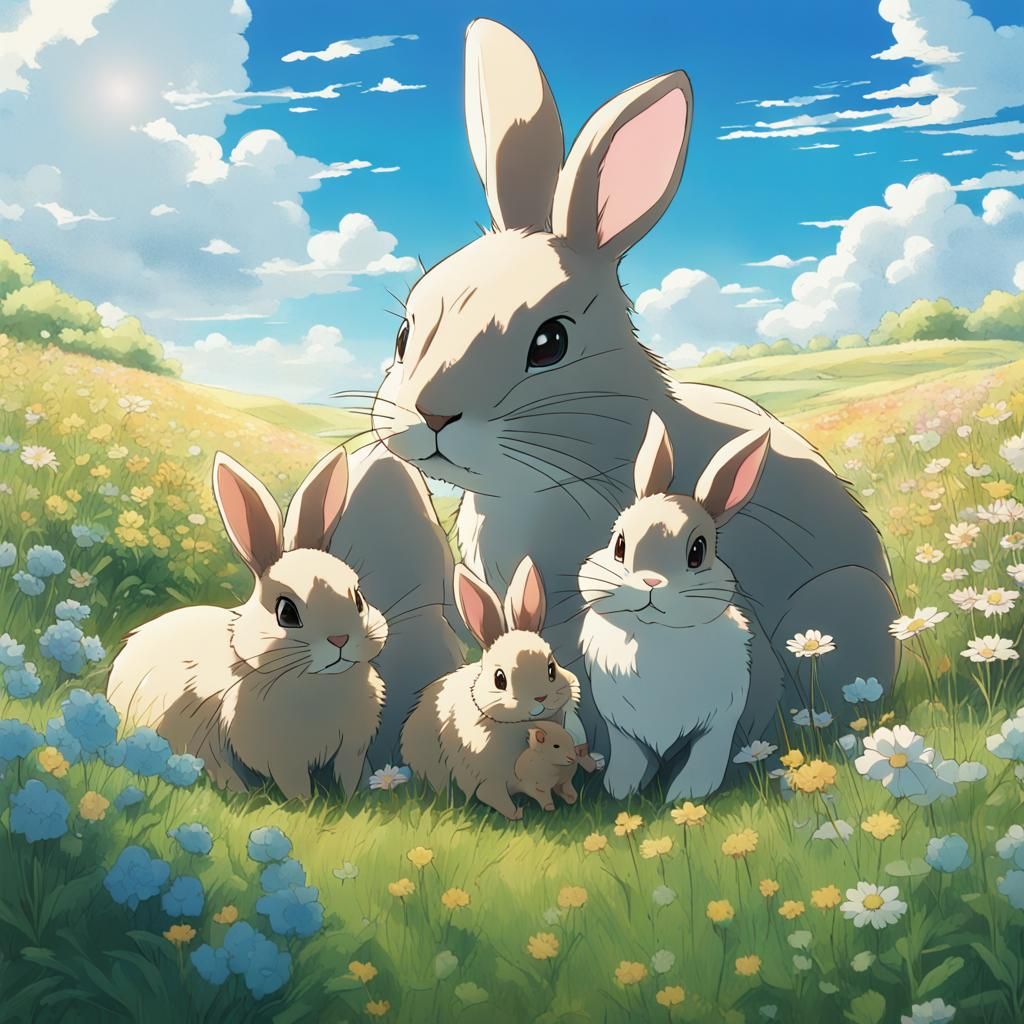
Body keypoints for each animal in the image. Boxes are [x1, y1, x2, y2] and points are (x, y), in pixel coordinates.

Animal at [106, 446, 387, 801]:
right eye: (286, 613)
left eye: (358, 598)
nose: (339, 639)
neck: (319, 682)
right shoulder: (281, 756)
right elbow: (295, 785)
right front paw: (305, 805)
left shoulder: (352, 749)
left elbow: (348, 777)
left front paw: (355, 800)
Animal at [401, 556, 595, 820]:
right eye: (500, 679)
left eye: (551, 669)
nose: (540, 698)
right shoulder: (489, 777)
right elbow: (493, 796)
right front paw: (516, 814)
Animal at [580, 413, 785, 801]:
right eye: (619, 545)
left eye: (697, 551)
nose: (649, 582)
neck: (654, 636)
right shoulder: (620, 727)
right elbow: (630, 756)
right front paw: (621, 790)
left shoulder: (721, 719)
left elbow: (706, 754)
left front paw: (686, 794)